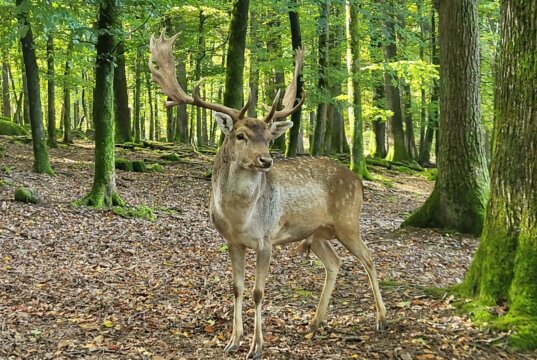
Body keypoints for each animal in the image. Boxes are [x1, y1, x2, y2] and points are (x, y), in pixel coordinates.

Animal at [151, 29, 386, 358]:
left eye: (268, 137)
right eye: (240, 135)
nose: (266, 160)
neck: (239, 217)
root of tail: (358, 180)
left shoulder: (265, 241)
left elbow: (258, 292)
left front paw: (257, 346)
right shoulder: (232, 242)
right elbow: (236, 288)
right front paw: (233, 341)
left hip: (348, 221)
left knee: (369, 257)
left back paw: (380, 319)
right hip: (317, 233)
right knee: (335, 263)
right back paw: (315, 322)